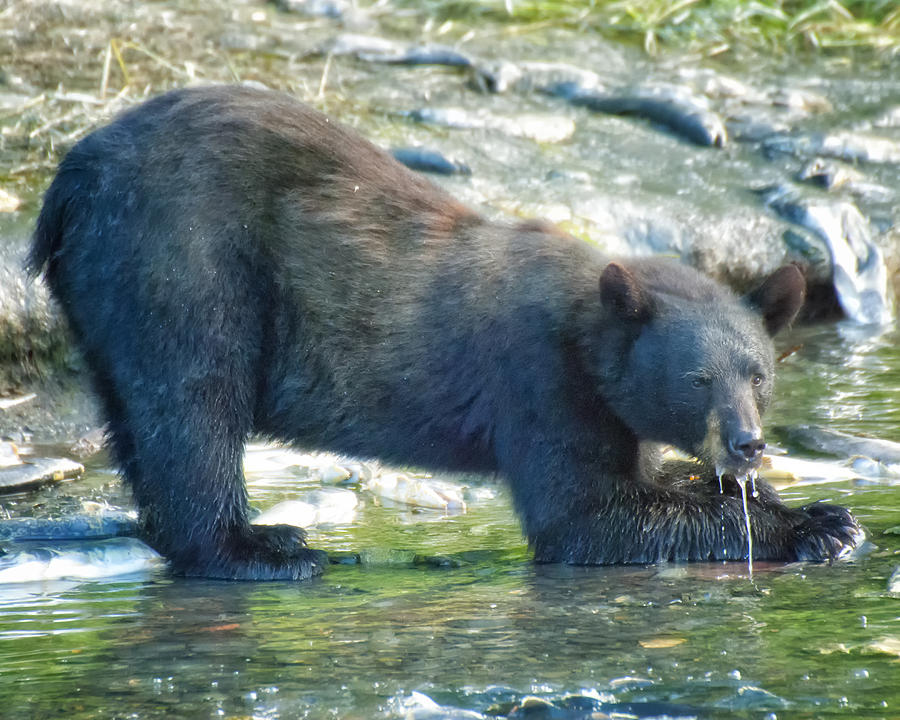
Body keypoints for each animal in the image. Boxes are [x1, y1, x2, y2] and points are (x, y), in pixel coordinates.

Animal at [29, 86, 856, 580]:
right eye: (695, 378)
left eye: (759, 373)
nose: (746, 443)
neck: (590, 328)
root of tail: (71, 176)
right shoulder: (543, 380)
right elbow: (586, 517)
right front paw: (813, 526)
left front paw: (800, 507)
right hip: (184, 263)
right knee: (193, 405)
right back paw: (262, 548)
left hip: (109, 295)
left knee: (142, 419)